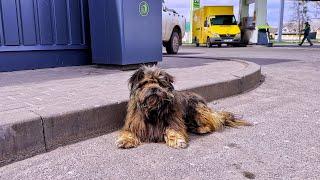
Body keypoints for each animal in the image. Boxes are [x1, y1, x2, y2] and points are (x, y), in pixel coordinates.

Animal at [116, 66, 251, 149]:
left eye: (160, 83)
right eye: (145, 83)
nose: (154, 88)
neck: (153, 110)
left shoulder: (173, 120)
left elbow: (173, 129)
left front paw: (176, 140)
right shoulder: (134, 123)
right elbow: (128, 132)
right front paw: (125, 140)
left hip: (197, 110)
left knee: (214, 122)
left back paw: (202, 128)